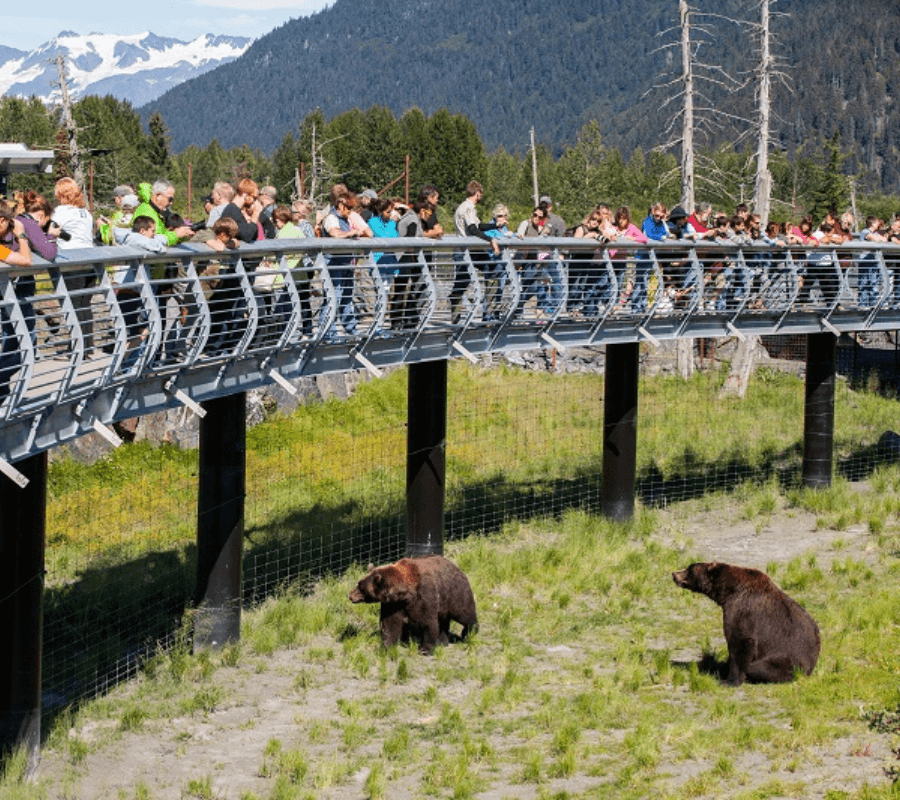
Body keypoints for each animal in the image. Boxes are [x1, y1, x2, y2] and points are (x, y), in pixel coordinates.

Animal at [350, 552, 482, 652]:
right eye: (359, 583)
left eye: (361, 588)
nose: (350, 595)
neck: (404, 594)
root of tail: (457, 567)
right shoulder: (393, 604)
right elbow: (390, 623)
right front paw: (387, 645)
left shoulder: (423, 595)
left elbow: (427, 621)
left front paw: (425, 648)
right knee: (443, 620)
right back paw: (443, 641)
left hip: (454, 592)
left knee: (464, 613)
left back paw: (469, 632)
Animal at [672, 560, 820, 684]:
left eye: (689, 569)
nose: (674, 574)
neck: (727, 592)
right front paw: (719, 668)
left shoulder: (742, 610)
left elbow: (739, 641)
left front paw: (729, 680)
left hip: (787, 660)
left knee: (758, 667)